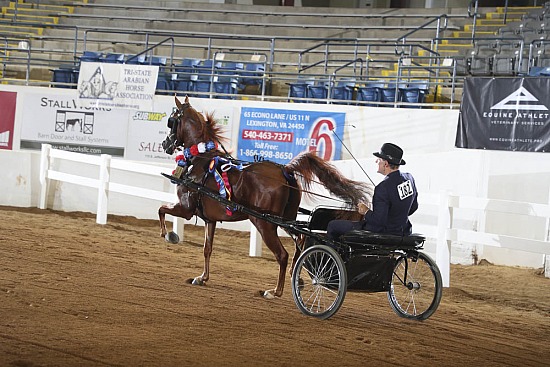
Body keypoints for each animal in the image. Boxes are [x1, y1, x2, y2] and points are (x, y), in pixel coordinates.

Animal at [158, 96, 376, 300]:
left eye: (171, 120)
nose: (165, 144)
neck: (199, 159)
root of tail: (285, 170)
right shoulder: (210, 219)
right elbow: (207, 248)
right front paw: (202, 277)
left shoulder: (185, 209)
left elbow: (162, 210)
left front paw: (168, 235)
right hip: (285, 219)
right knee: (301, 240)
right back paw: (296, 276)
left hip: (264, 223)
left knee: (282, 254)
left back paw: (275, 291)